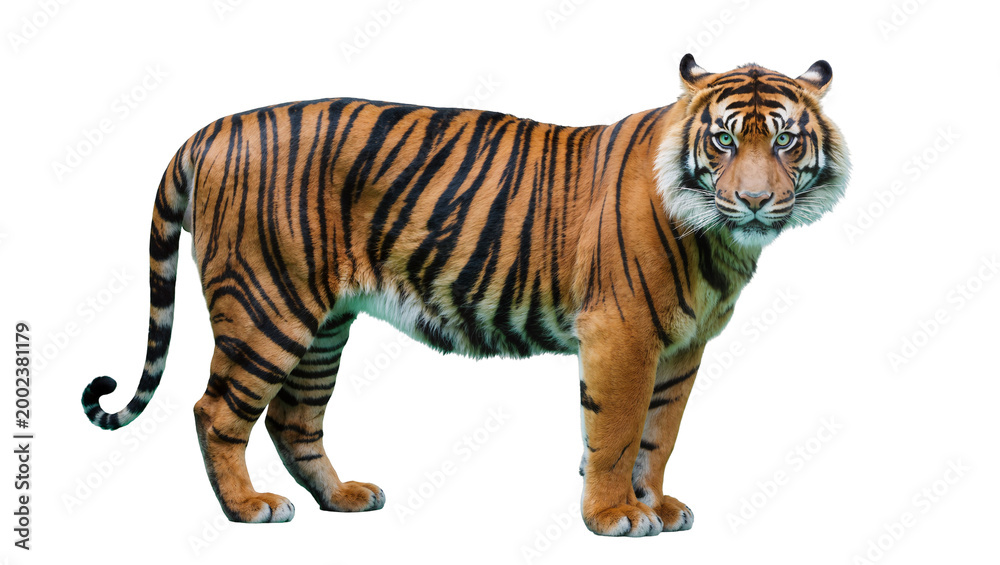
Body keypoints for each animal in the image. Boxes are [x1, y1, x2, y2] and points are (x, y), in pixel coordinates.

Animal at [80, 54, 849, 536]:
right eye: (723, 140)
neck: (718, 240)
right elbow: (616, 432)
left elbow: (659, 436)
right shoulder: (622, 333)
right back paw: (248, 508)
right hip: (267, 306)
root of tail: (212, 128)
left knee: (293, 418)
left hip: (323, 322)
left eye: (785, 142)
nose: (754, 201)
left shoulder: (682, 346)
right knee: (216, 410)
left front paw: (655, 505)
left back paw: (343, 498)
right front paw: (615, 517)